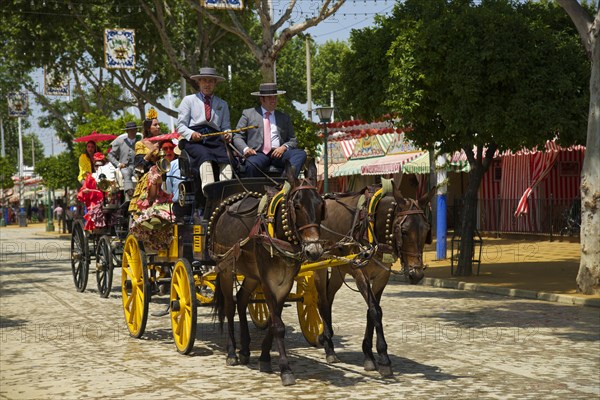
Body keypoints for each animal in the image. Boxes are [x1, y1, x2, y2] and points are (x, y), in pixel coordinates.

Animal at [210, 159, 324, 384]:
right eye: (297, 206)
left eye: (321, 205)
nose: (314, 250)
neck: (279, 233)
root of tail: (225, 208)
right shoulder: (268, 281)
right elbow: (278, 325)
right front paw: (285, 369)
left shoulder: (285, 281)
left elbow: (273, 321)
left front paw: (264, 358)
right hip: (226, 269)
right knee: (229, 307)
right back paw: (232, 353)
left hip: (251, 274)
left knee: (241, 299)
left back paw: (245, 351)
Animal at [314, 181, 432, 378]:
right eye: (404, 231)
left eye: (426, 230)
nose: (416, 274)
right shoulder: (360, 273)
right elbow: (375, 311)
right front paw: (383, 359)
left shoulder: (381, 277)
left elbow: (372, 311)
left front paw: (368, 355)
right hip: (319, 265)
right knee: (322, 300)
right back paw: (329, 348)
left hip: (339, 269)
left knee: (329, 298)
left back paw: (326, 338)